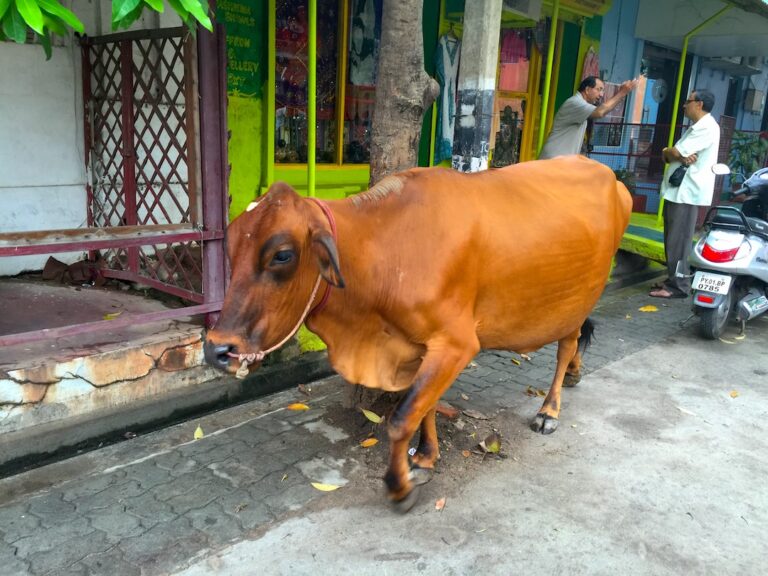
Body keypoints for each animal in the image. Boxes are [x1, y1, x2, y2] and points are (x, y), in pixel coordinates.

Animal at [202, 155, 632, 510]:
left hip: (578, 301)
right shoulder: (420, 347)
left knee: (565, 347)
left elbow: (403, 416)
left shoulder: (457, 344)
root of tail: (610, 177)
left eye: (282, 255)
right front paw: (425, 457)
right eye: (230, 251)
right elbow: (425, 406)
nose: (217, 350)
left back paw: (549, 409)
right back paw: (574, 375)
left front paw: (400, 485)